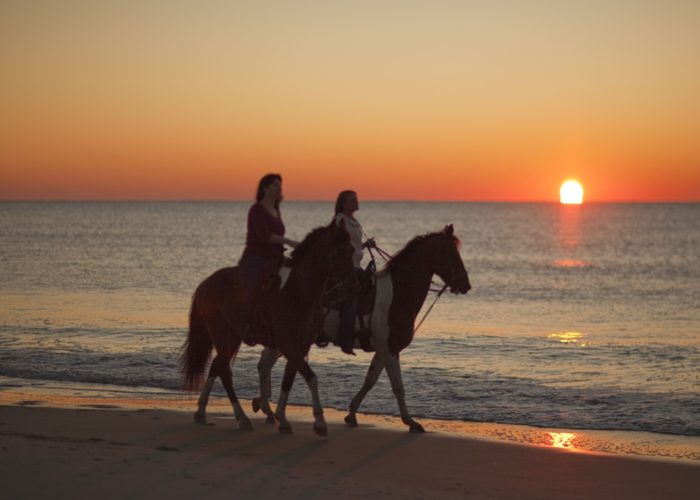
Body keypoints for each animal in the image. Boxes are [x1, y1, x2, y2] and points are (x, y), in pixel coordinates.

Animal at [180, 221, 356, 436]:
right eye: (337, 252)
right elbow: (311, 377)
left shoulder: (301, 345)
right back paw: (242, 418)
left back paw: (201, 411)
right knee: (225, 371)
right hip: (221, 333)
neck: (298, 293)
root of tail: (204, 284)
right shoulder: (288, 344)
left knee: (216, 365)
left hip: (233, 336)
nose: (352, 287)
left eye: (351, 250)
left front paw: (283, 419)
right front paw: (320, 422)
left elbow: (289, 380)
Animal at [253, 226, 470, 434]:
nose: (466, 285)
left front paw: (351, 413)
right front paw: (411, 422)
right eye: (451, 253)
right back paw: (272, 412)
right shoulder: (390, 349)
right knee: (269, 366)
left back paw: (268, 410)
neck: (396, 295)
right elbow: (398, 386)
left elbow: (370, 380)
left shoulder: (383, 350)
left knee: (267, 364)